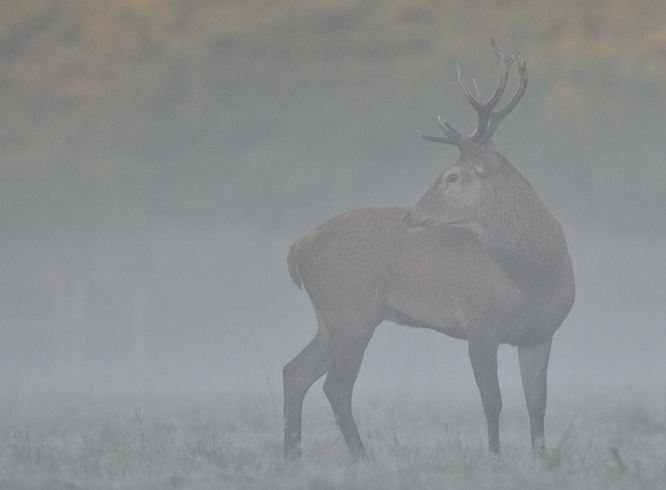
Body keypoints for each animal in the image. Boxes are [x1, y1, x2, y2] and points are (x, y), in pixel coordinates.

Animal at [283, 39, 575, 459]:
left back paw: (293, 455)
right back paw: (362, 458)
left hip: (330, 318)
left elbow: (538, 405)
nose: (409, 215)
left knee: (294, 373)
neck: (532, 276)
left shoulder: (540, 333)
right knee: (334, 386)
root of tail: (295, 250)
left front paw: (540, 458)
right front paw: (494, 456)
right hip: (351, 312)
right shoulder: (480, 326)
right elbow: (492, 400)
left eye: (451, 177)